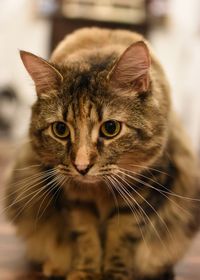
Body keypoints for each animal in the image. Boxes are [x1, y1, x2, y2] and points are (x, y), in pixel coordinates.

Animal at [4, 26, 200, 280]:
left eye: (110, 128)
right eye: (60, 130)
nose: (81, 166)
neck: (99, 190)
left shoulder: (141, 193)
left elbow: (121, 240)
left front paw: (116, 274)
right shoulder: (74, 197)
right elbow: (86, 238)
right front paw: (84, 273)